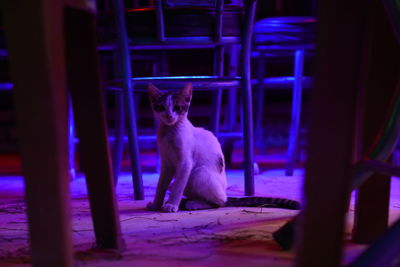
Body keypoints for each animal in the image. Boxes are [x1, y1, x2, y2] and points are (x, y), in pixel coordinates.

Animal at [147, 84, 300, 214]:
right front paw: (157, 204)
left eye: (177, 107)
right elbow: (161, 185)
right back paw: (188, 201)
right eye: (161, 107)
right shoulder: (166, 163)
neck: (169, 132)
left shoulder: (185, 164)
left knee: (220, 202)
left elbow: (178, 186)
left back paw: (194, 204)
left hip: (199, 174)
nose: (169, 116)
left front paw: (172, 205)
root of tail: (225, 192)